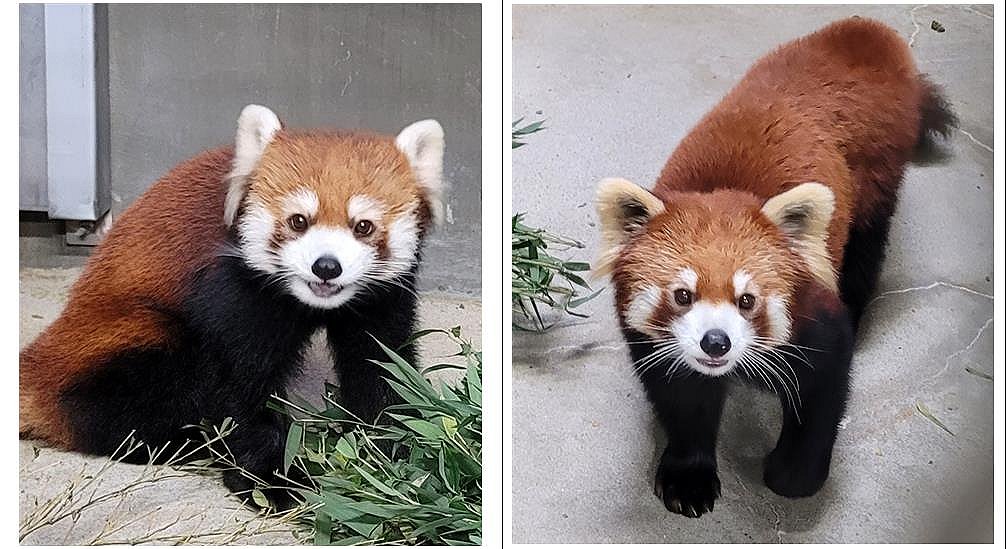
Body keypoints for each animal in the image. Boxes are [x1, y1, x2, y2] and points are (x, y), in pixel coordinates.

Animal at [18, 103, 445, 501]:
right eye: (298, 221)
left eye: (363, 226)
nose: (327, 266)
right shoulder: (232, 290)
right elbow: (238, 386)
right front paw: (272, 480)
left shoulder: (381, 297)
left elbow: (380, 366)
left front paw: (394, 454)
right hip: (124, 337)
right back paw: (179, 444)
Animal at [592, 18, 955, 519]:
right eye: (682, 295)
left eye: (748, 300)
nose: (716, 342)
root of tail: (859, 37)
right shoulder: (658, 345)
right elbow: (683, 398)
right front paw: (689, 475)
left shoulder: (814, 316)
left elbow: (823, 388)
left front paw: (794, 476)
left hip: (874, 176)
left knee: (865, 247)